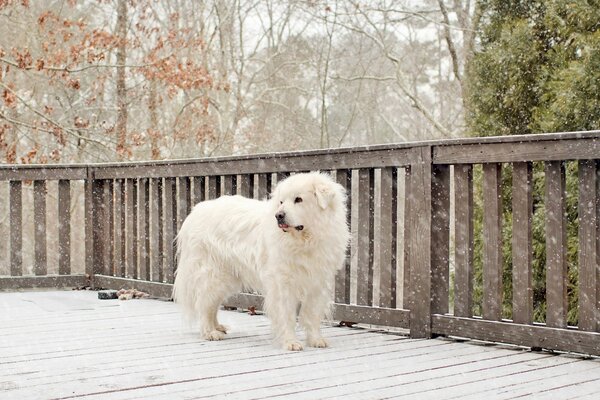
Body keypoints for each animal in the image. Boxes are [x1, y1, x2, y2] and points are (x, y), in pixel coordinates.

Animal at [173, 172, 350, 350]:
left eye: (298, 199)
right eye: (281, 202)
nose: (279, 216)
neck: (305, 240)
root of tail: (195, 212)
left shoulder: (317, 282)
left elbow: (312, 315)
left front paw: (315, 340)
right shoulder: (282, 283)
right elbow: (287, 315)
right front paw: (290, 342)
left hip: (226, 278)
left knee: (212, 304)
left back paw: (218, 327)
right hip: (213, 274)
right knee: (204, 303)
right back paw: (210, 332)